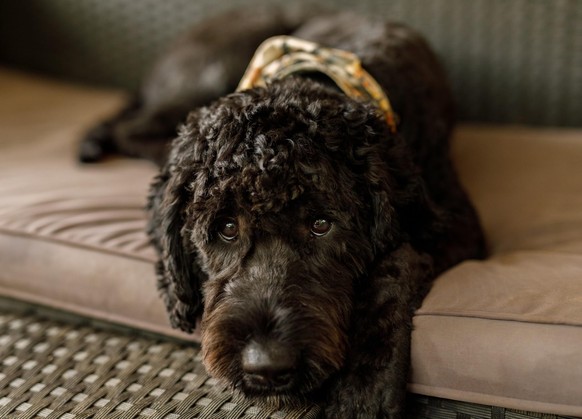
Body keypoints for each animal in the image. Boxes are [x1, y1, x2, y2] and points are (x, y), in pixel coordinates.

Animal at [80, 7, 486, 419]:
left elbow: (395, 263)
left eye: (321, 224)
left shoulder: (456, 225)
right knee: (130, 128)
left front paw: (365, 383)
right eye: (227, 227)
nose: (267, 366)